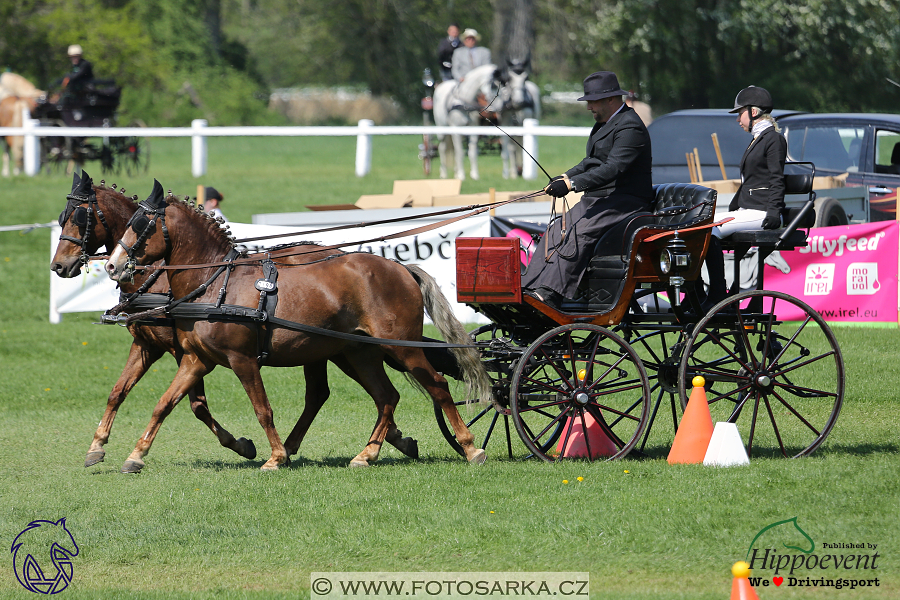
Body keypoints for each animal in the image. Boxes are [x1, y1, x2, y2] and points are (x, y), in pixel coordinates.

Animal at [51, 171, 258, 466]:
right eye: (62, 217)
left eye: (79, 217)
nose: (58, 265)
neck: (154, 278)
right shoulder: (145, 344)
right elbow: (117, 392)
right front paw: (97, 445)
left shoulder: (183, 351)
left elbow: (197, 405)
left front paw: (239, 444)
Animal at [105, 180, 492, 472]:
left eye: (141, 225)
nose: (112, 265)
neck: (215, 283)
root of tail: (399, 268)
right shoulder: (195, 359)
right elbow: (165, 403)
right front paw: (135, 455)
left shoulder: (242, 360)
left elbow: (262, 409)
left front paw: (275, 457)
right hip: (360, 352)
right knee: (386, 396)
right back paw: (366, 454)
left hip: (399, 346)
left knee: (437, 384)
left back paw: (471, 447)